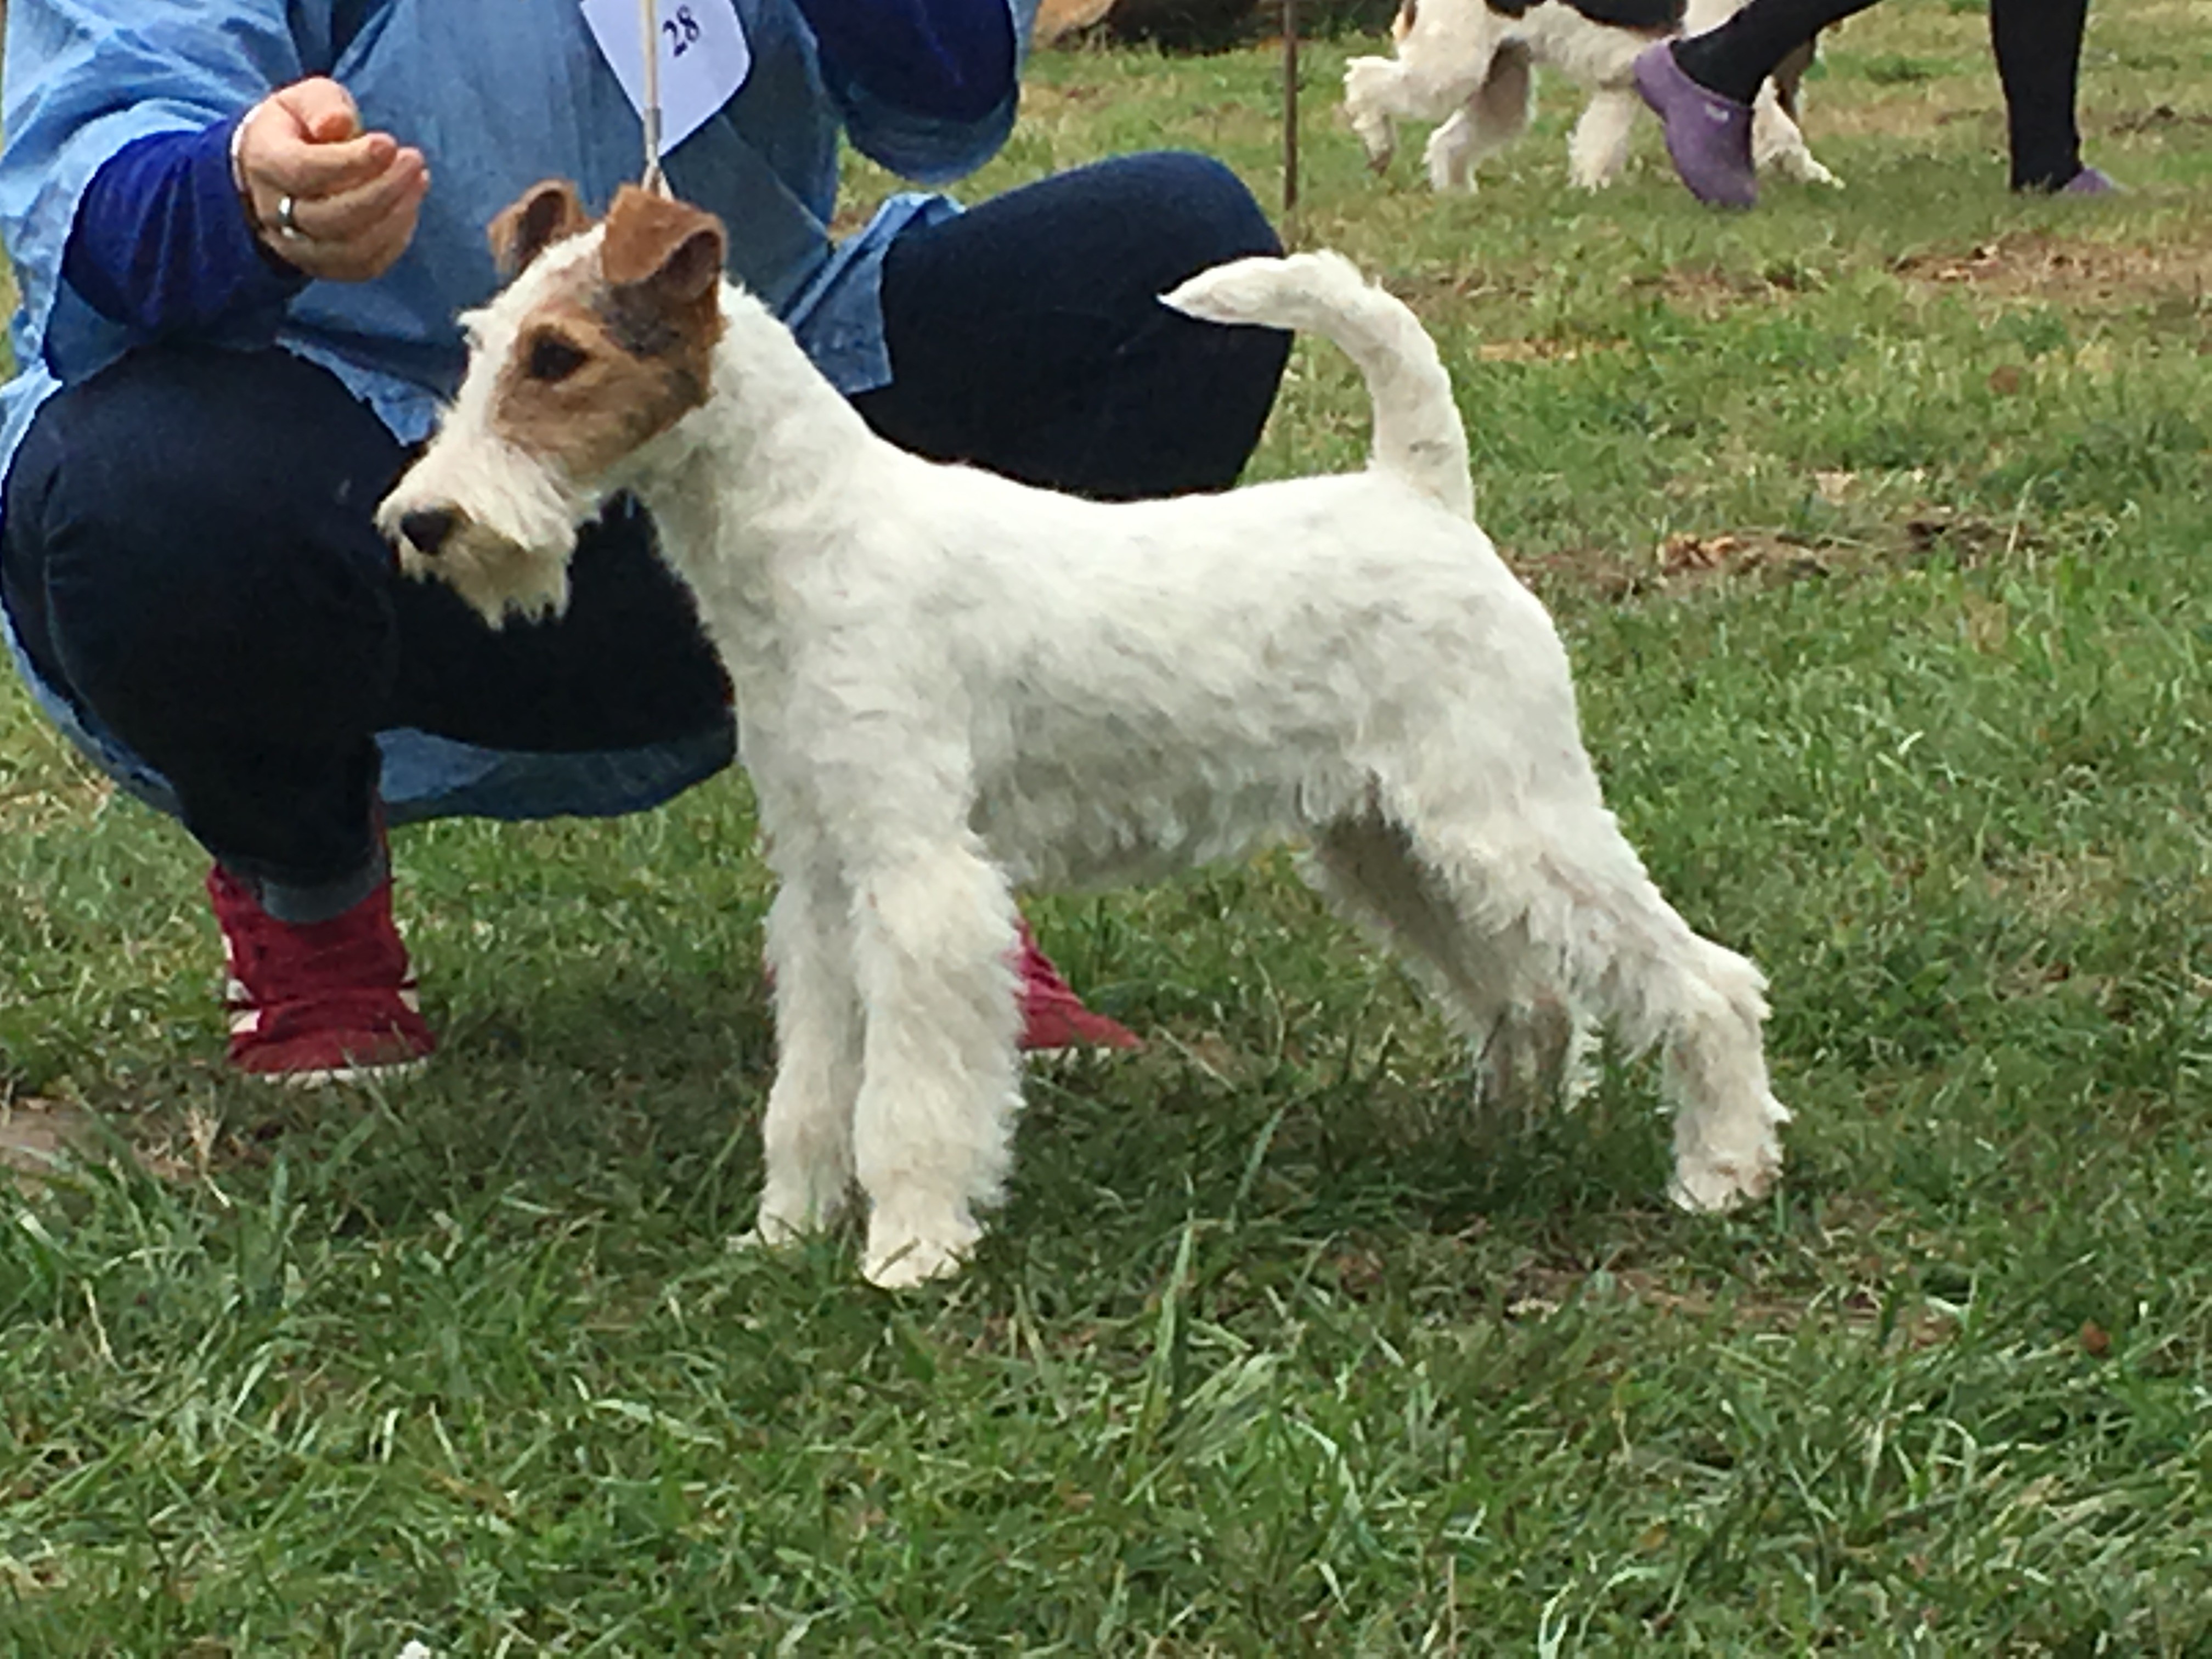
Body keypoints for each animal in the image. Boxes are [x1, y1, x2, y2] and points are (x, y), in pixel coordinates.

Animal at [389, 188, 1787, 1291]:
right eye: (481, 345)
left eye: (559, 356)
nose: (422, 523)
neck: (810, 543)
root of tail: (1421, 493)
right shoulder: (823, 875)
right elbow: (812, 1090)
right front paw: (783, 1236)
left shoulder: (919, 875)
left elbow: (910, 1094)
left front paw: (910, 1251)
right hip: (1387, 840)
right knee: (1531, 997)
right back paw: (1502, 1142)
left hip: (1507, 816)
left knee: (1704, 980)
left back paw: (1723, 1174)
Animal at [1345, 0, 1831, 194]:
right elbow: (1782, 131)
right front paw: (1816, 177)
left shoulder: (1623, 83)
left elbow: (1597, 146)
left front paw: (1590, 191)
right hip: (1449, 70)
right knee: (1363, 80)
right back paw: (1379, 147)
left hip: (1502, 85)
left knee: (1447, 143)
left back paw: (1458, 197)